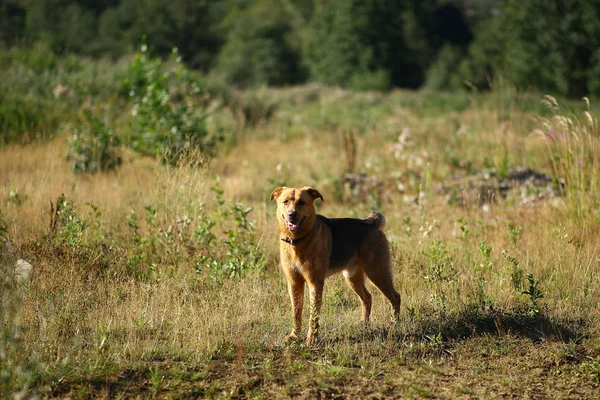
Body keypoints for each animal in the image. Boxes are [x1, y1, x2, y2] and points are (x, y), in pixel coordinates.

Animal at [270, 186, 400, 346]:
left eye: (302, 202)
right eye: (286, 201)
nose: (292, 215)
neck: (297, 241)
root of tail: (371, 223)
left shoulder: (315, 282)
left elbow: (313, 316)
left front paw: (311, 339)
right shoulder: (294, 282)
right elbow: (296, 312)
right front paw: (294, 336)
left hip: (377, 272)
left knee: (395, 297)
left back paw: (395, 324)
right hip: (352, 277)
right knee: (367, 298)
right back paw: (364, 324)